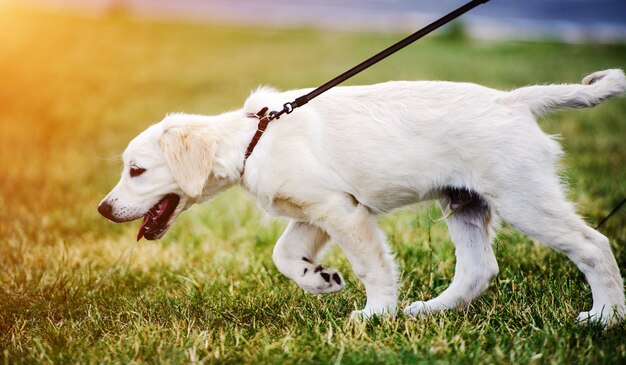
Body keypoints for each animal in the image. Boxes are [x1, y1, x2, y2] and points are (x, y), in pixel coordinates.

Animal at [97, 69, 624, 324]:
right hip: (464, 202)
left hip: (522, 197)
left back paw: (605, 318)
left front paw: (375, 314)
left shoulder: (343, 212)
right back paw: (429, 311)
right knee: (478, 269)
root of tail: (513, 101)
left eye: (136, 170)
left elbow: (373, 267)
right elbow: (283, 253)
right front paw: (319, 279)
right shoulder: (315, 211)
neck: (253, 141)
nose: (103, 209)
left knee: (593, 246)